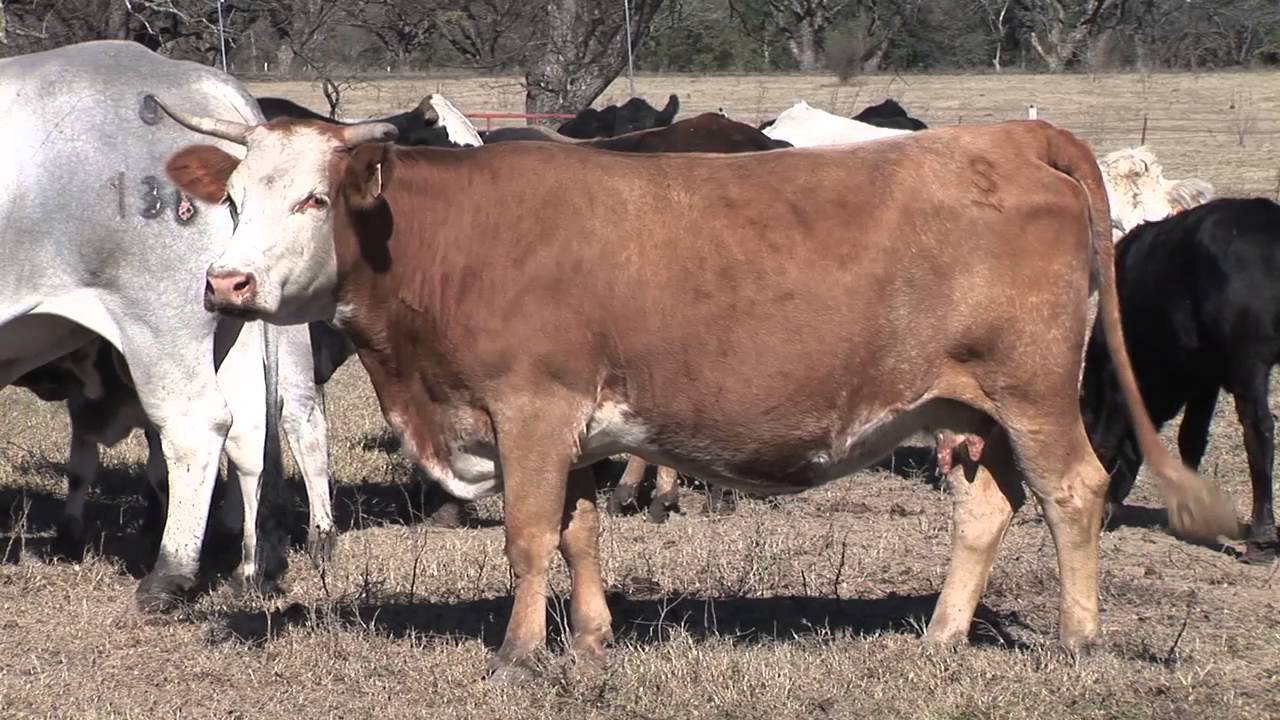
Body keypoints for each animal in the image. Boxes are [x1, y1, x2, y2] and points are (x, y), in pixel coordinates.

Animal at [0, 40, 336, 609]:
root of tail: (192, 79)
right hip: (233, 323)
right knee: (254, 431)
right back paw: (250, 570)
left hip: (158, 322)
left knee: (199, 424)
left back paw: (169, 575)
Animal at [160, 102, 1239, 677]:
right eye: (232, 198)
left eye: (314, 199)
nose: (226, 285)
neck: (449, 242)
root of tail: (1010, 136)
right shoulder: (575, 425)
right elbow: (578, 531)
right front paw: (593, 637)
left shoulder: (530, 409)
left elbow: (526, 537)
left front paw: (520, 652)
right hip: (975, 409)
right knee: (988, 506)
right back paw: (939, 634)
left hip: (1033, 396)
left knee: (1074, 494)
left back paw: (1075, 637)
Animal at [1082, 198, 1280, 563]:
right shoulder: (1204, 378)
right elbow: (1192, 437)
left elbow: (1107, 437)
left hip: (1248, 360)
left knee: (1258, 429)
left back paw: (1261, 537)